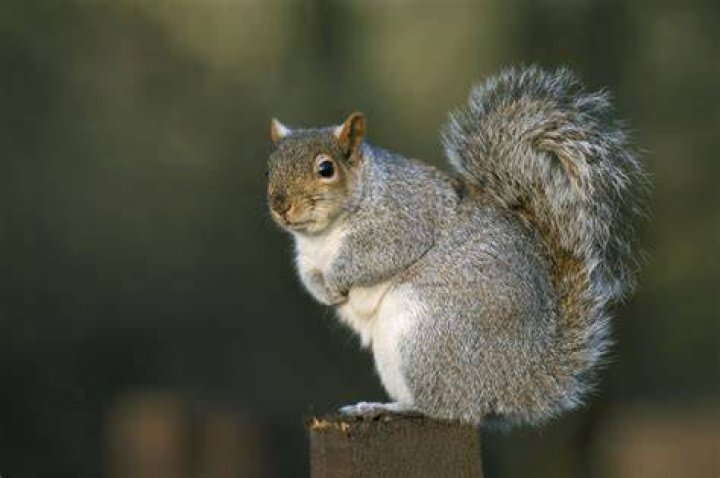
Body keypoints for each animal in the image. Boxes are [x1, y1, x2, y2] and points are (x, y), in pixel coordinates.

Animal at [266, 66, 647, 426]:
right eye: (270, 167)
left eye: (326, 168)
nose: (280, 204)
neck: (323, 236)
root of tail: (519, 379)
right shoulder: (307, 256)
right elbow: (308, 276)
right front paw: (324, 291)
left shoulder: (402, 220)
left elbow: (374, 257)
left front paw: (337, 280)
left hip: (428, 335)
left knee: (448, 408)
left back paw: (387, 407)